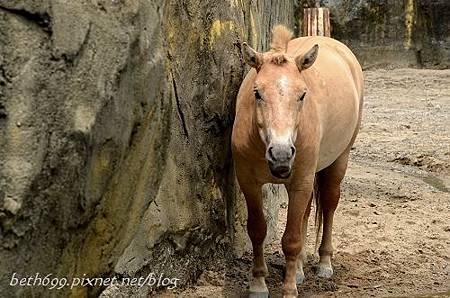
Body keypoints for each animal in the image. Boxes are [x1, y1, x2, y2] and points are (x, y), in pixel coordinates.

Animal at [230, 24, 364, 296]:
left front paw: (289, 289)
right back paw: (300, 268)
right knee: (307, 212)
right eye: (257, 93)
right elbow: (257, 230)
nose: (281, 155)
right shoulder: (249, 182)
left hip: (338, 162)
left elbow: (291, 240)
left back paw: (324, 263)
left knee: (329, 205)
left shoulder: (300, 182)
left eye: (302, 95)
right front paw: (258, 283)